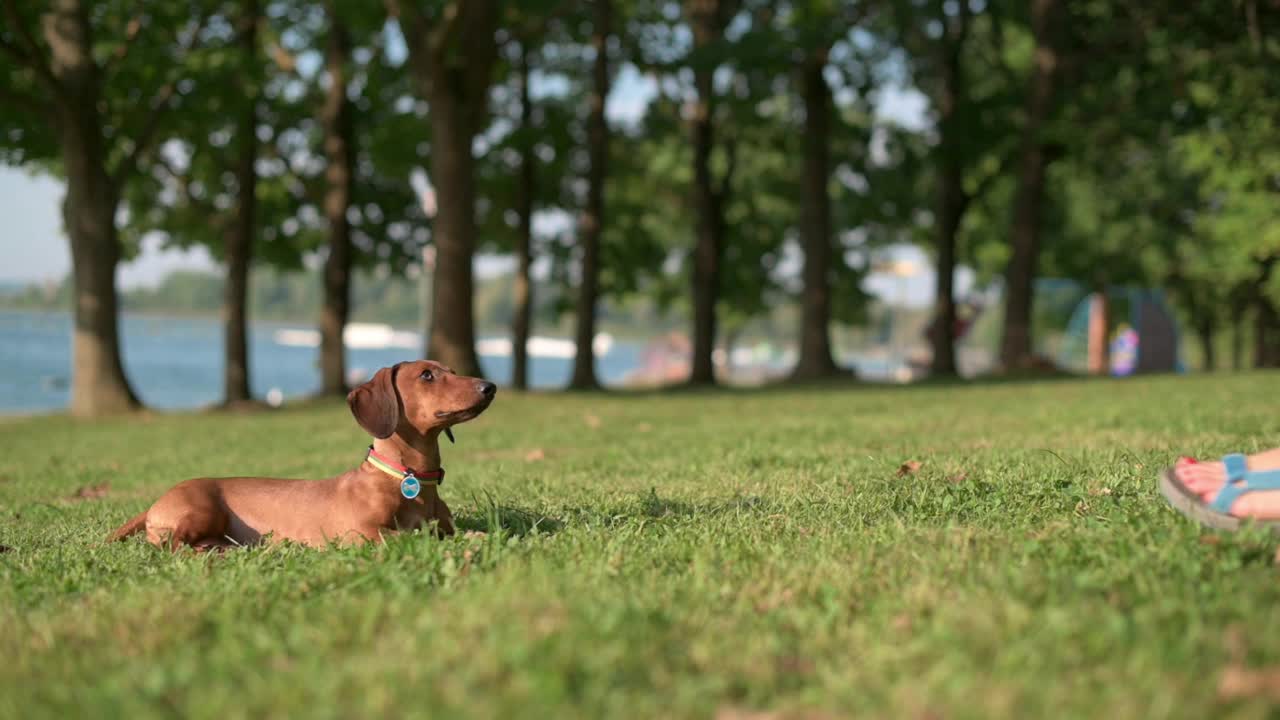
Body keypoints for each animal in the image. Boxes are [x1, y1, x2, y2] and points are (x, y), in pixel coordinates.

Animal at [108, 358, 494, 548]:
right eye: (427, 375)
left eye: (453, 372)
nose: (489, 386)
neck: (408, 478)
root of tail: (154, 505)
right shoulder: (360, 533)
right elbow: (412, 535)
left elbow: (454, 532)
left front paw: (477, 537)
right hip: (202, 511)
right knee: (172, 546)